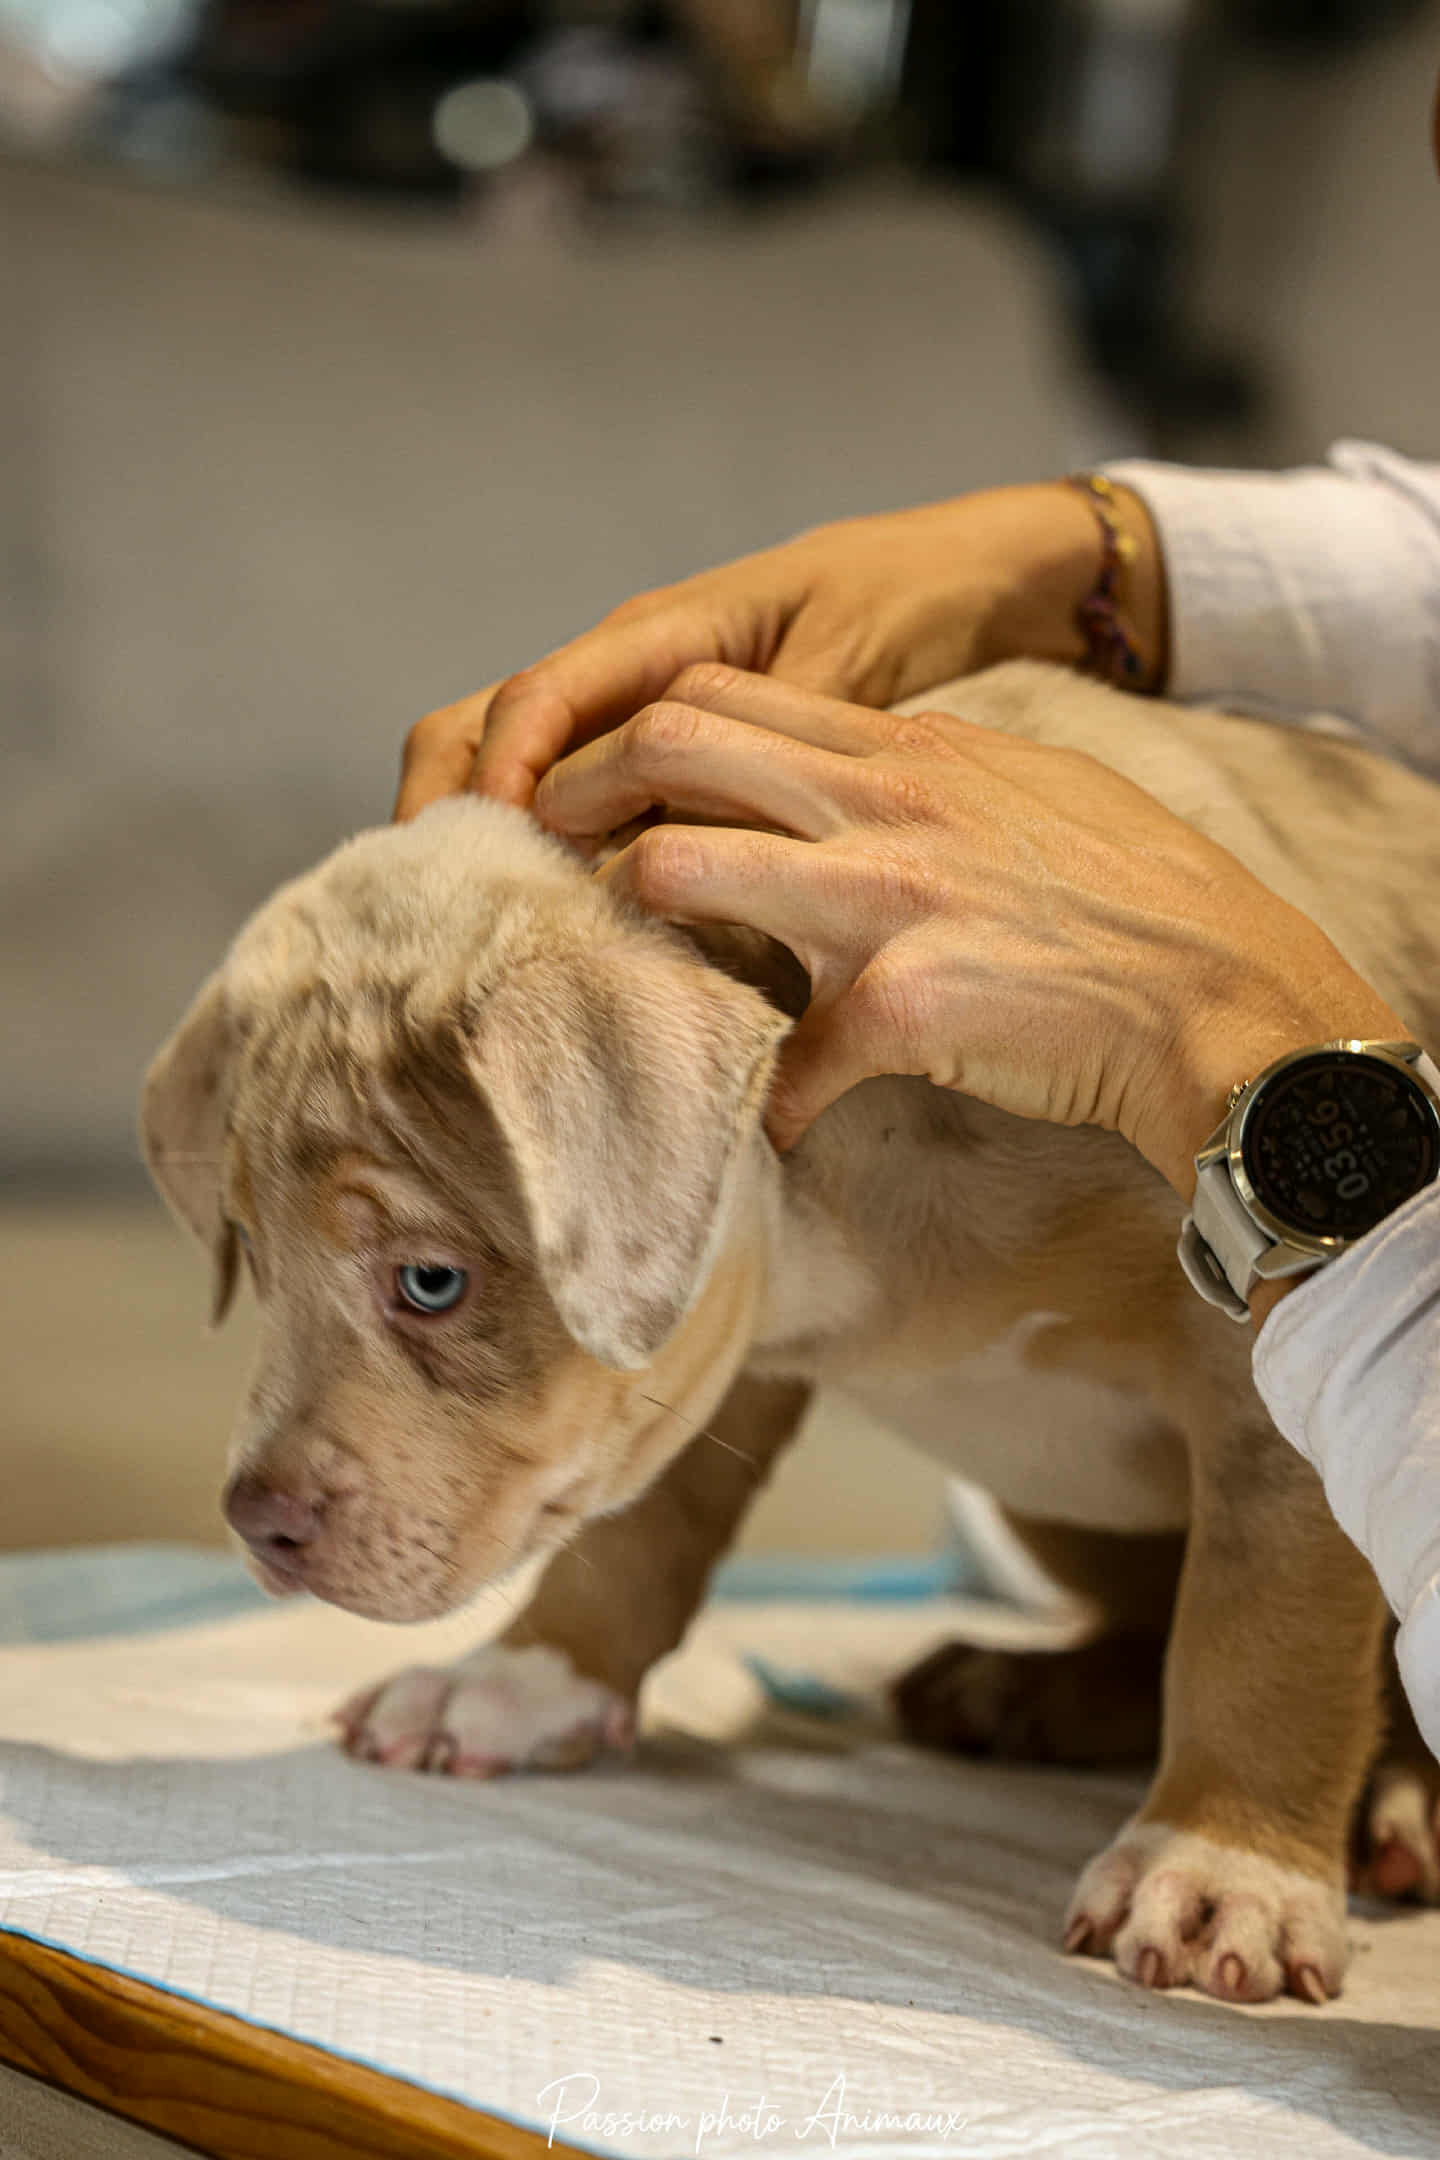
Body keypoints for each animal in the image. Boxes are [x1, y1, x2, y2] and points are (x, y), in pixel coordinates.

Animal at [143, 659, 1440, 2005]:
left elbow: (1262, 1620)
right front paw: (519, 1678)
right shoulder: (711, 1358)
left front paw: (1221, 1867)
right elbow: (638, 1529)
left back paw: (1397, 1807)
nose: (257, 1521)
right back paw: (1021, 1692)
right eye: (256, 1262)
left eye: (432, 1282)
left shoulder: (1269, 1364)